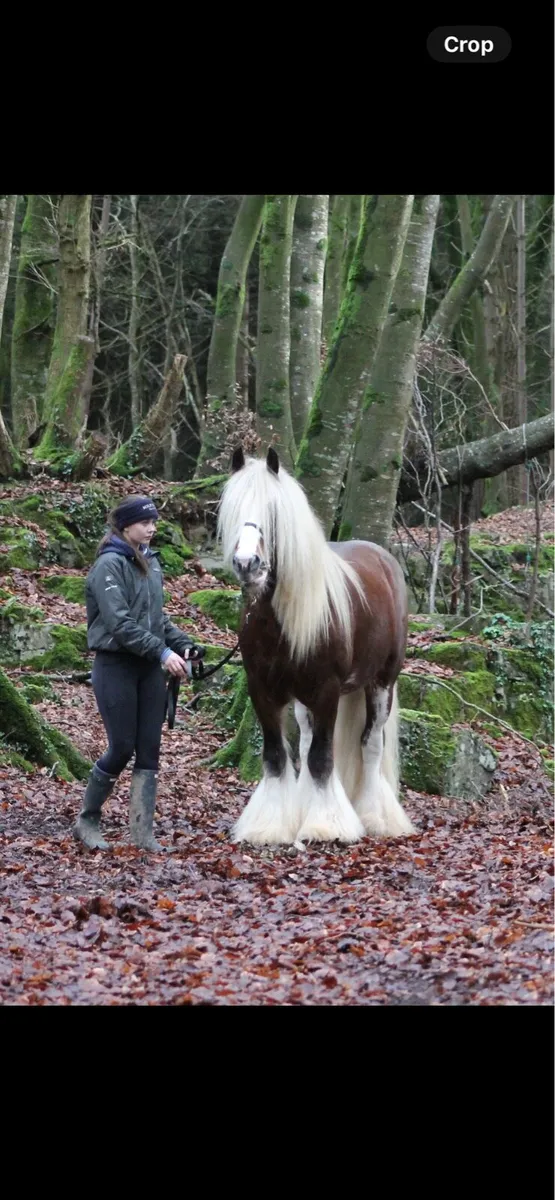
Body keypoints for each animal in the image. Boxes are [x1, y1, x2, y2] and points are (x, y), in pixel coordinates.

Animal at [217, 445, 415, 847]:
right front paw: (270, 826)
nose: (247, 564)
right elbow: (277, 756)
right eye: (233, 508)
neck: (278, 621)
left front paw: (326, 827)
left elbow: (323, 758)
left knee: (370, 745)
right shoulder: (262, 690)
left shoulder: (326, 691)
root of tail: (384, 559)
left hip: (380, 684)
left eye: (273, 513)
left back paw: (377, 818)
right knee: (307, 743)